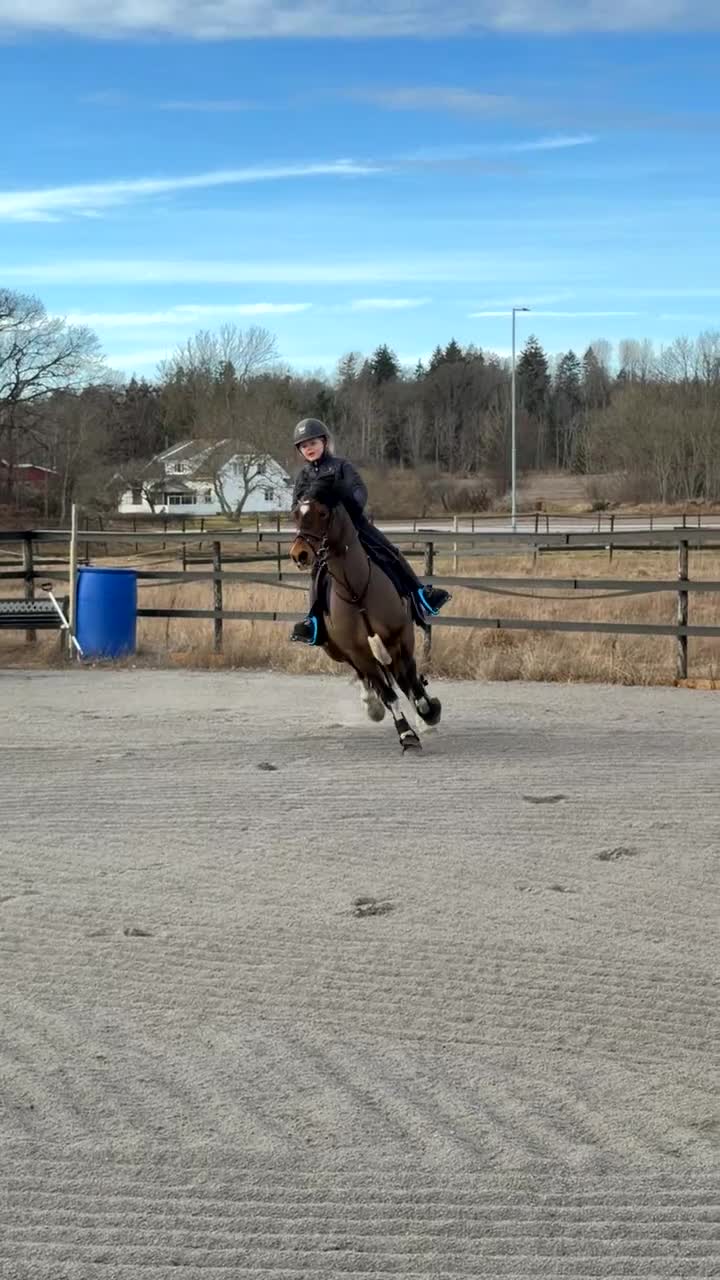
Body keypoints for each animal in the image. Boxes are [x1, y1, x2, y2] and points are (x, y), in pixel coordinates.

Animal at [289, 477, 441, 751]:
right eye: (296, 514)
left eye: (322, 512)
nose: (299, 554)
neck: (356, 591)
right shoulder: (359, 653)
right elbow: (388, 694)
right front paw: (406, 734)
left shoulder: (401, 638)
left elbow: (410, 681)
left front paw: (428, 711)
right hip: (338, 651)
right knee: (369, 679)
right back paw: (372, 705)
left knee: (405, 679)